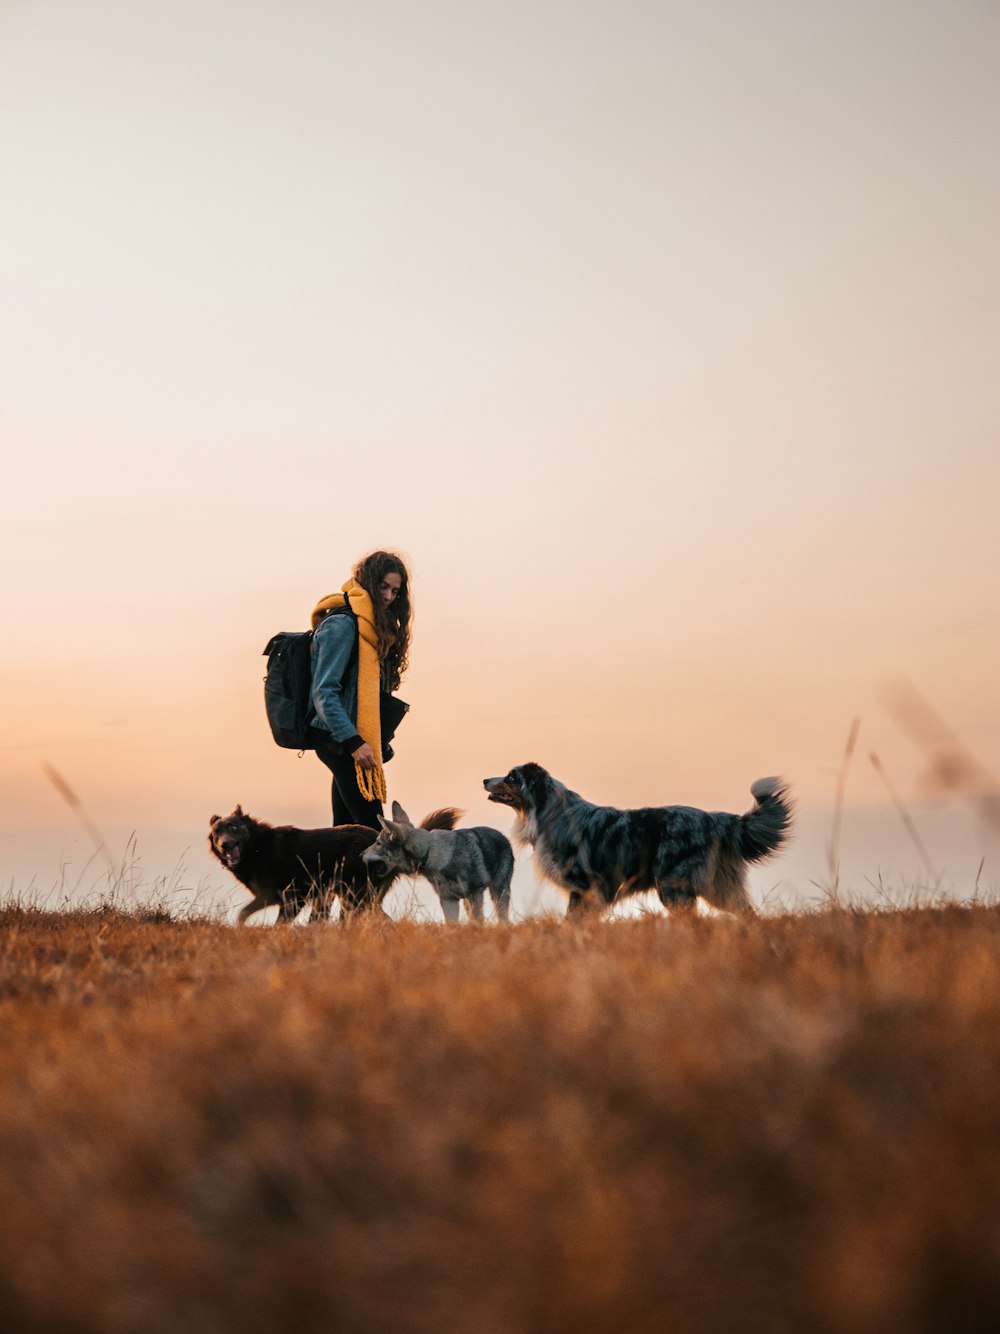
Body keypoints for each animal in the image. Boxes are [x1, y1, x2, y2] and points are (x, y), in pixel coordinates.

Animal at [212, 805, 461, 923]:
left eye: (233, 828)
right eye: (216, 833)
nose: (224, 845)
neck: (257, 846)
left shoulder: (292, 896)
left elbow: (269, 921)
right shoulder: (272, 896)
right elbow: (243, 915)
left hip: (355, 895)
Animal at [362, 795, 517, 923]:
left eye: (378, 843)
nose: (360, 855)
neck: (430, 853)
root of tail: (502, 836)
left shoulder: (475, 894)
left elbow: (478, 922)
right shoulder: (448, 900)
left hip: (498, 893)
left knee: (503, 919)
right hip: (469, 901)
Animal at [482, 763, 794, 917]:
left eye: (511, 777)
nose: (485, 779)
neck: (549, 812)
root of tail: (717, 819)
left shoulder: (586, 887)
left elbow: (573, 922)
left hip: (674, 887)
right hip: (719, 887)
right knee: (749, 915)